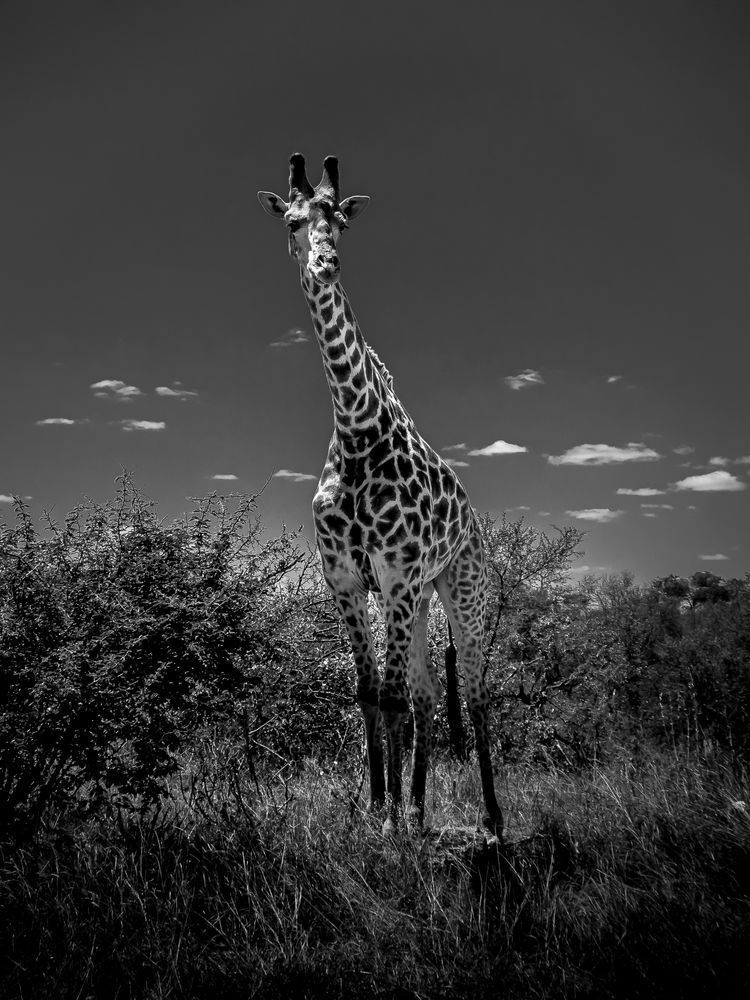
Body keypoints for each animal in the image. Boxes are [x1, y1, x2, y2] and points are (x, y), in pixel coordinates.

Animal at [258, 153, 503, 836]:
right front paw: (375, 810)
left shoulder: (393, 574)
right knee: (425, 695)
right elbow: (372, 697)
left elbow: (390, 698)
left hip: (461, 590)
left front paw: (388, 823)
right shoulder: (346, 577)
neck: (356, 430)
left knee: (475, 694)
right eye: (291, 221)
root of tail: (473, 518)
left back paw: (490, 819)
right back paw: (417, 807)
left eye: (339, 220)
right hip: (419, 598)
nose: (326, 262)